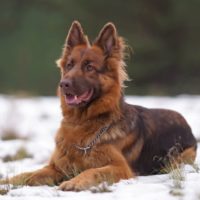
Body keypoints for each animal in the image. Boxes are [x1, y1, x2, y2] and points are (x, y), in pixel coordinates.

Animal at [0, 20, 197, 191]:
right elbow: (26, 174)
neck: (82, 124)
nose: (63, 84)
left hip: (178, 159)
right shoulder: (55, 168)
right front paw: (6, 182)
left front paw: (75, 182)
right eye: (69, 65)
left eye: (89, 67)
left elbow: (93, 171)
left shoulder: (119, 168)